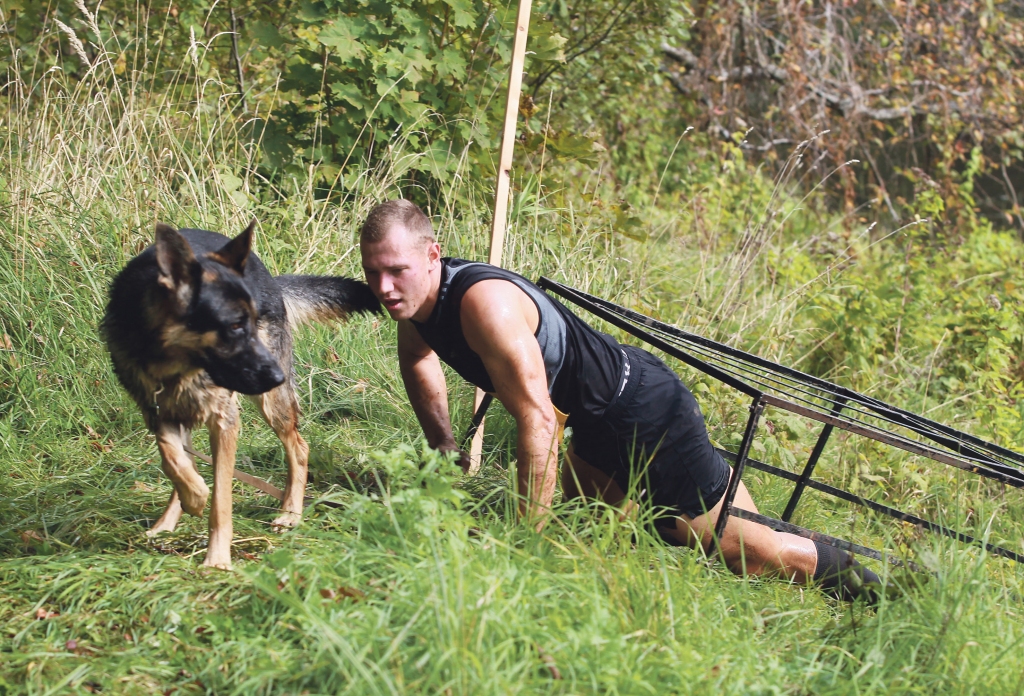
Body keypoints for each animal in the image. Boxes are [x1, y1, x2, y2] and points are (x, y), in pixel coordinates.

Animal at [101, 225, 380, 569]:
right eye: (234, 325)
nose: (278, 376)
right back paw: (166, 522)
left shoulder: (225, 420)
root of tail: (265, 273)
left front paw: (217, 560)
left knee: (299, 448)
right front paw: (194, 496)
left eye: (251, 321)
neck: (175, 366)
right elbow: (173, 461)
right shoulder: (157, 412)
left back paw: (290, 513)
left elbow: (221, 499)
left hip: (273, 407)